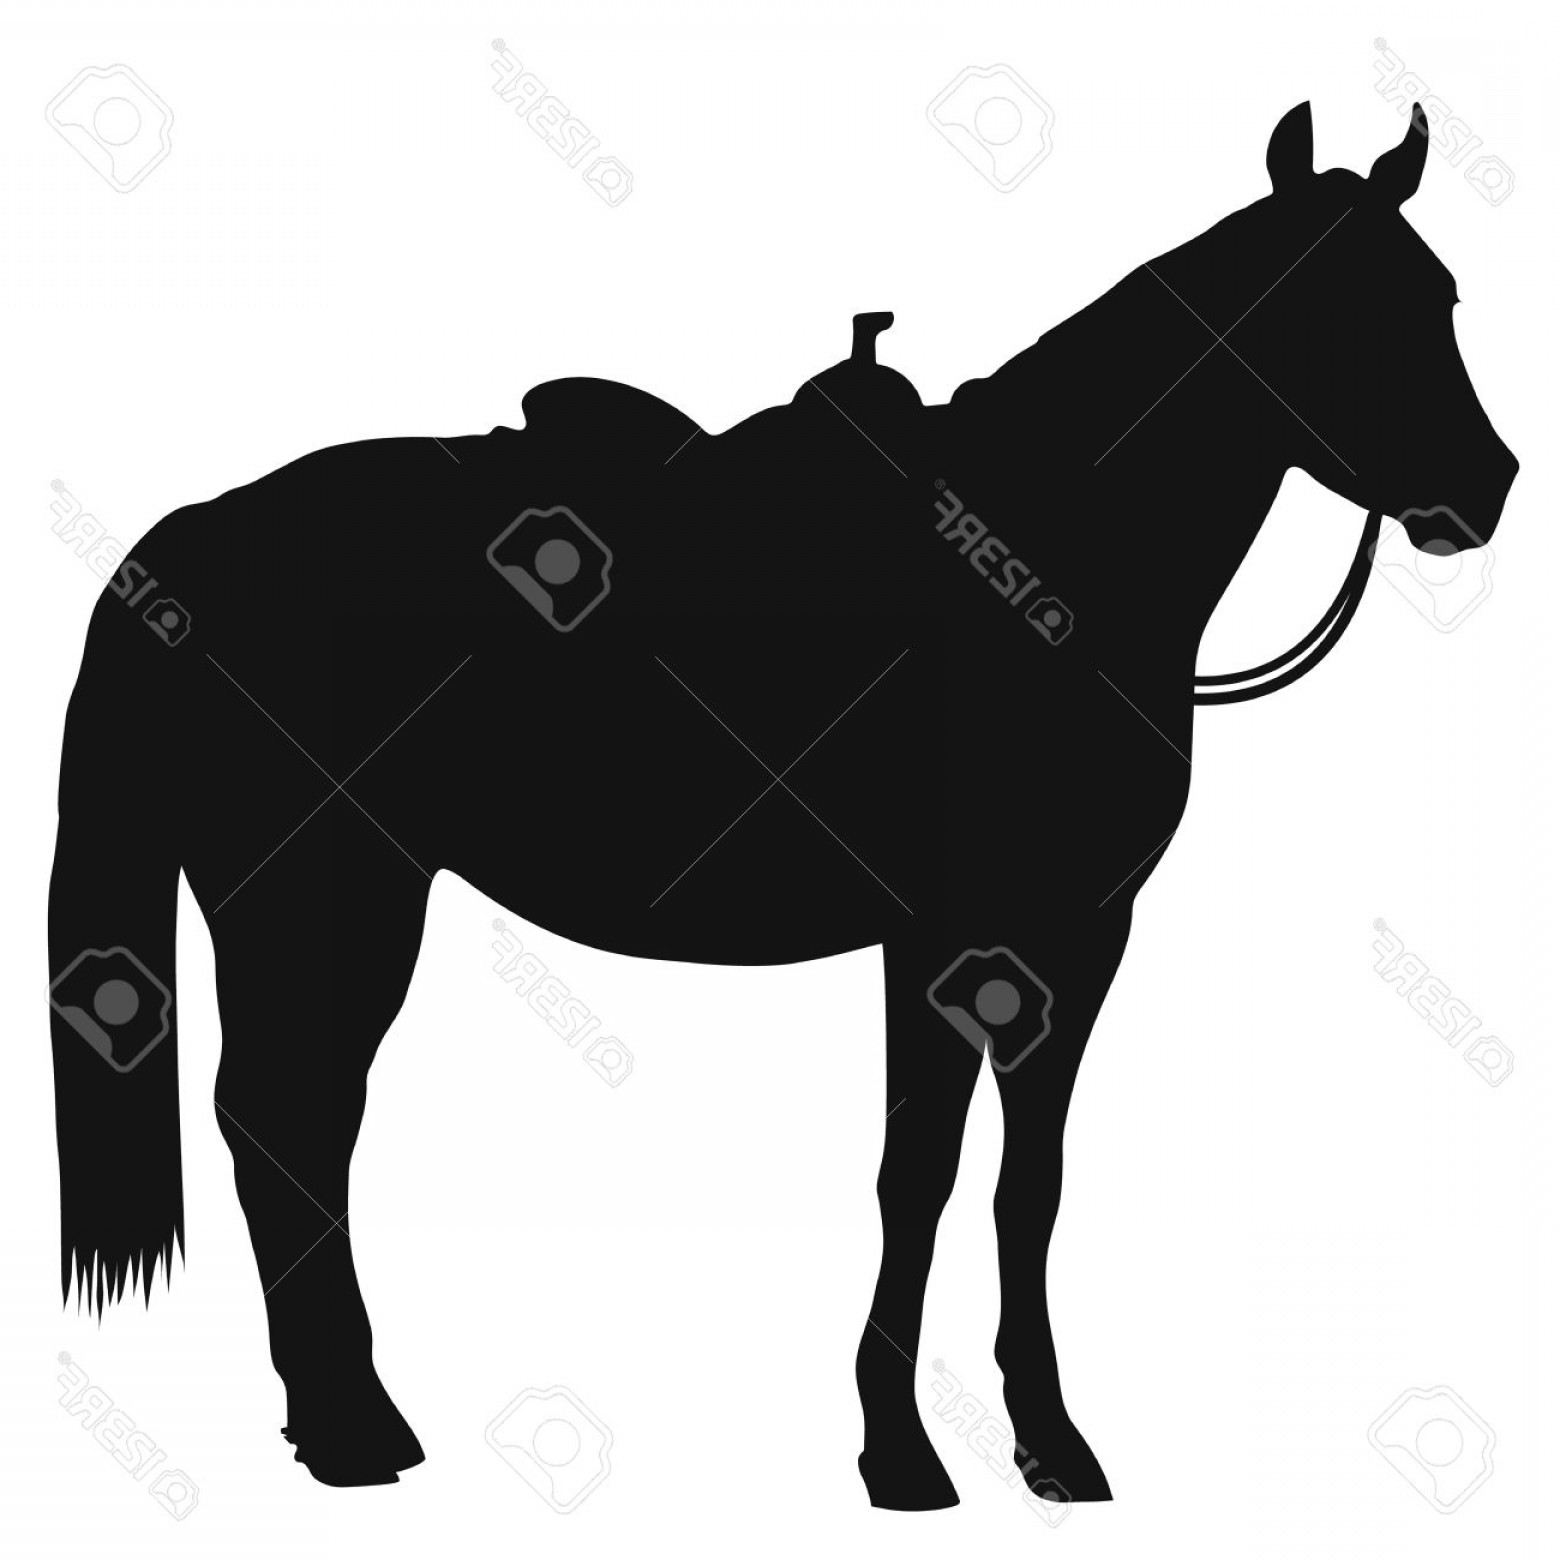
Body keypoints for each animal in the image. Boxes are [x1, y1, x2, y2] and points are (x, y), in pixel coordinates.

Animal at [48, 101, 1516, 1497]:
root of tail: (192, 542)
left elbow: (1025, 1187)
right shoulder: (947, 939)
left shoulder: (1076, 938)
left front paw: (1047, 1444)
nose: (1486, 489)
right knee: (288, 1118)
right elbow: (920, 1178)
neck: (1041, 565)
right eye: (1331, 310)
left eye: (1440, 294)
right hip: (322, 892)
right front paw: (903, 1455)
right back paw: (350, 1424)